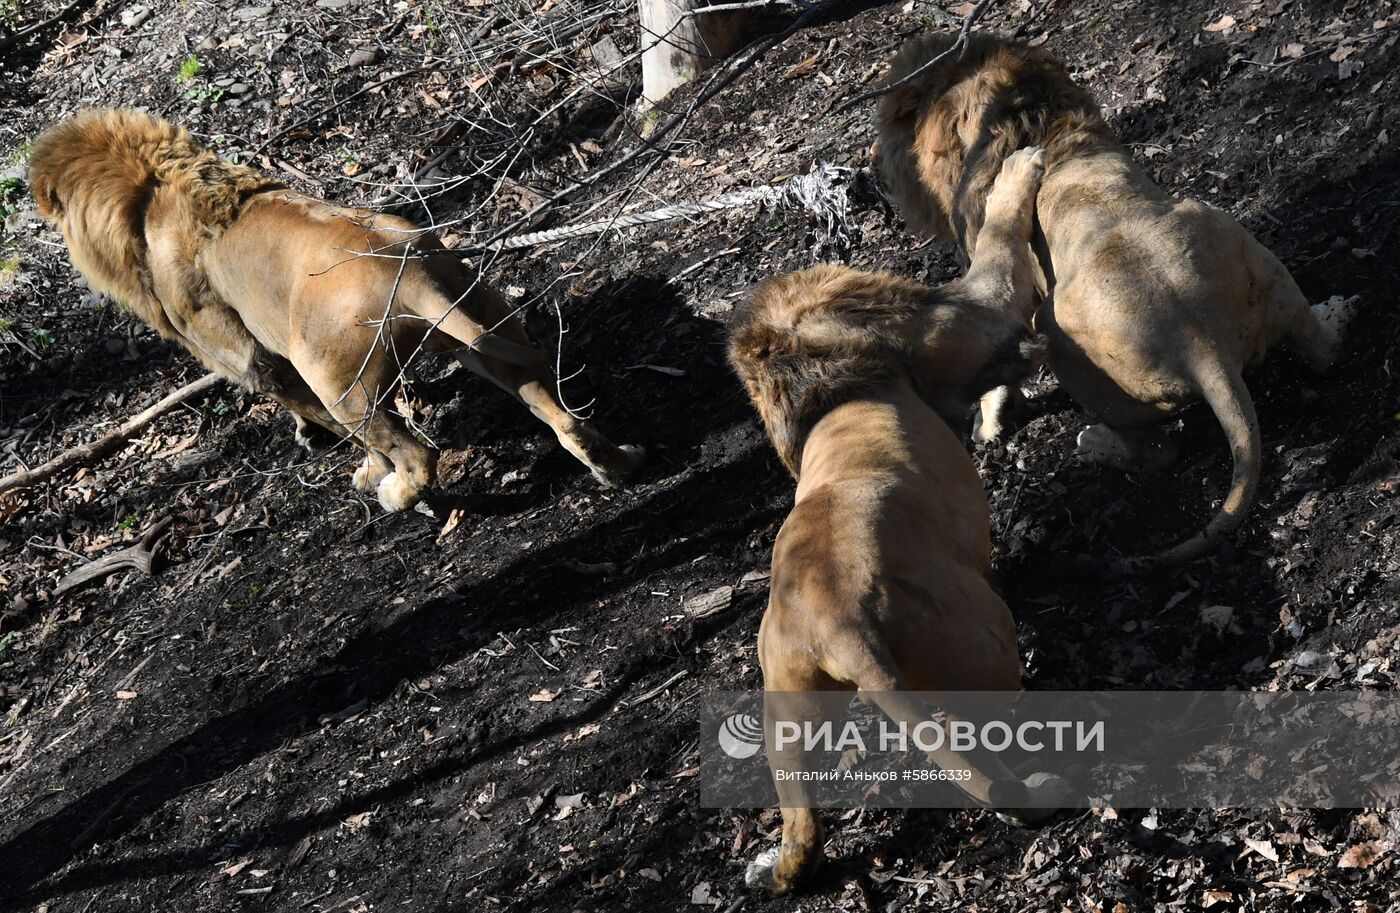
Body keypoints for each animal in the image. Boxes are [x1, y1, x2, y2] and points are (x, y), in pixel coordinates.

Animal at [728, 146, 1064, 896]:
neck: (835, 396)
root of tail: (839, 627)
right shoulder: (971, 312)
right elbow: (1000, 241)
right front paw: (1018, 165)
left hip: (786, 707)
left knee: (802, 819)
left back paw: (782, 870)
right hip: (981, 643)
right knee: (994, 730)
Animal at [879, 33, 1349, 571]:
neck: (1031, 118)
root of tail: (1201, 343)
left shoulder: (996, 267)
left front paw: (989, 424)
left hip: (1063, 343)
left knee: (1158, 451)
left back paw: (1096, 445)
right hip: (1235, 237)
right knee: (1321, 349)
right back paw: (1339, 313)